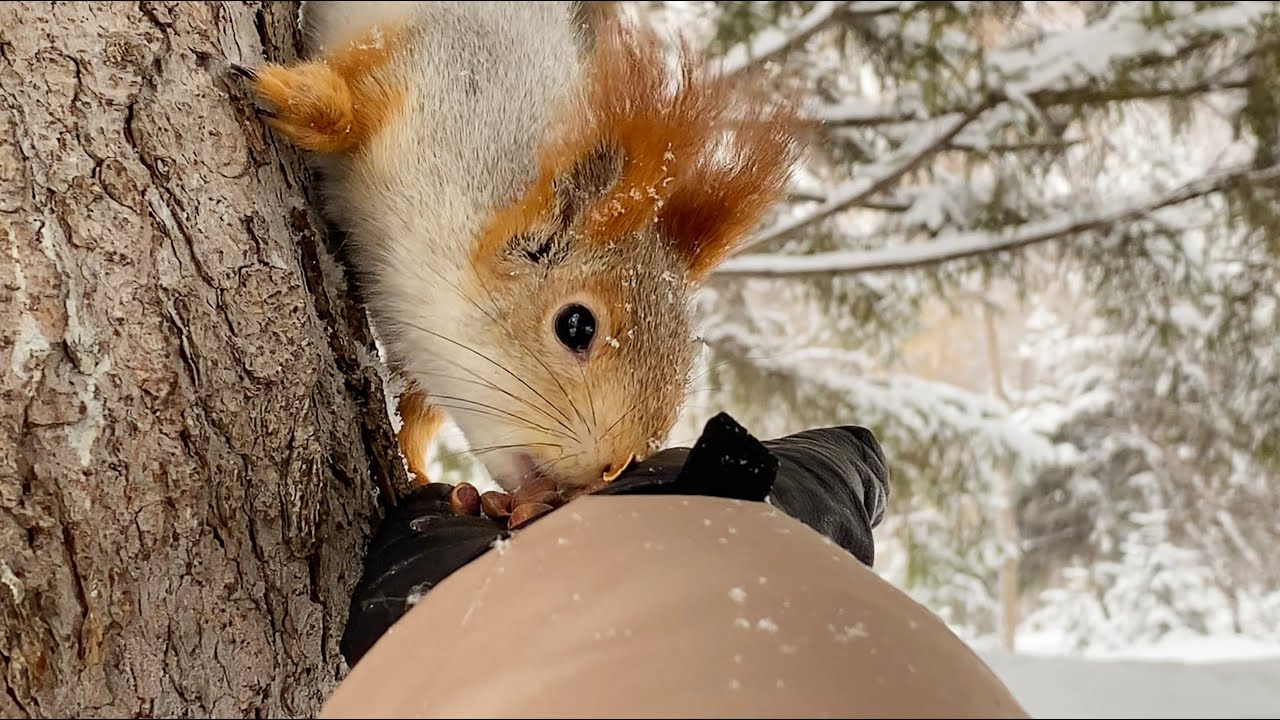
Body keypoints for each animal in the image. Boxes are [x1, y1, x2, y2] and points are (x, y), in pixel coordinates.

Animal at [234, 0, 798, 491]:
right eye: (576, 325)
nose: (611, 469)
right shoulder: (427, 67)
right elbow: (357, 100)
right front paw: (298, 102)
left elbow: (418, 406)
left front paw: (416, 473)